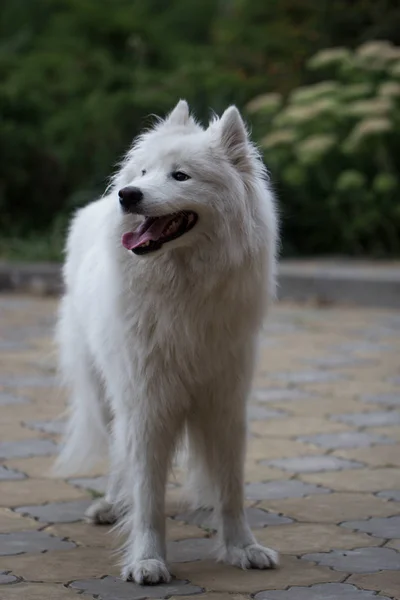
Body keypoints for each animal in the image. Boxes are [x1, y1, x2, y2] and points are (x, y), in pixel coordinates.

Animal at [55, 101, 278, 584]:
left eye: (180, 176)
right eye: (143, 171)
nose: (128, 194)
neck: (183, 290)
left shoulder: (225, 402)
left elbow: (232, 489)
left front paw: (242, 548)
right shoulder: (146, 405)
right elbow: (148, 499)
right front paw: (147, 560)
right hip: (106, 394)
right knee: (119, 457)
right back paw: (110, 503)